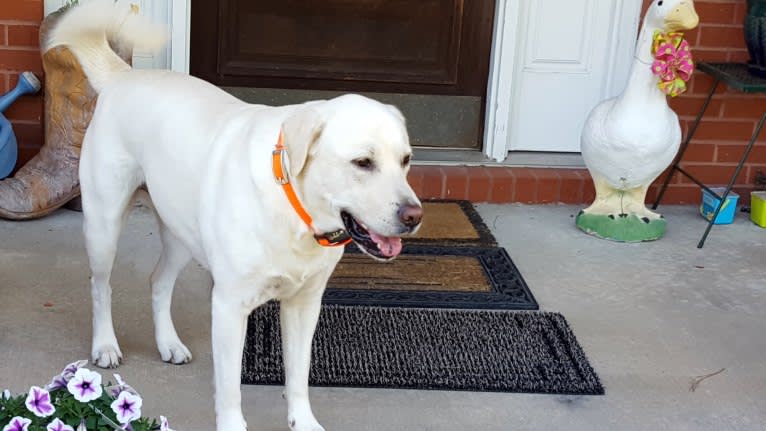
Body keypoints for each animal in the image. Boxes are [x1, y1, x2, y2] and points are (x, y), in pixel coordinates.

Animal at [47, 1, 424, 430]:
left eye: (406, 160)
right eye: (362, 162)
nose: (414, 216)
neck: (295, 213)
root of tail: (124, 76)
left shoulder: (305, 305)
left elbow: (298, 375)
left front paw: (303, 420)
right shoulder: (229, 307)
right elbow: (229, 389)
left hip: (181, 233)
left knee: (158, 281)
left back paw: (168, 343)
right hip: (104, 225)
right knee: (100, 285)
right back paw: (106, 345)